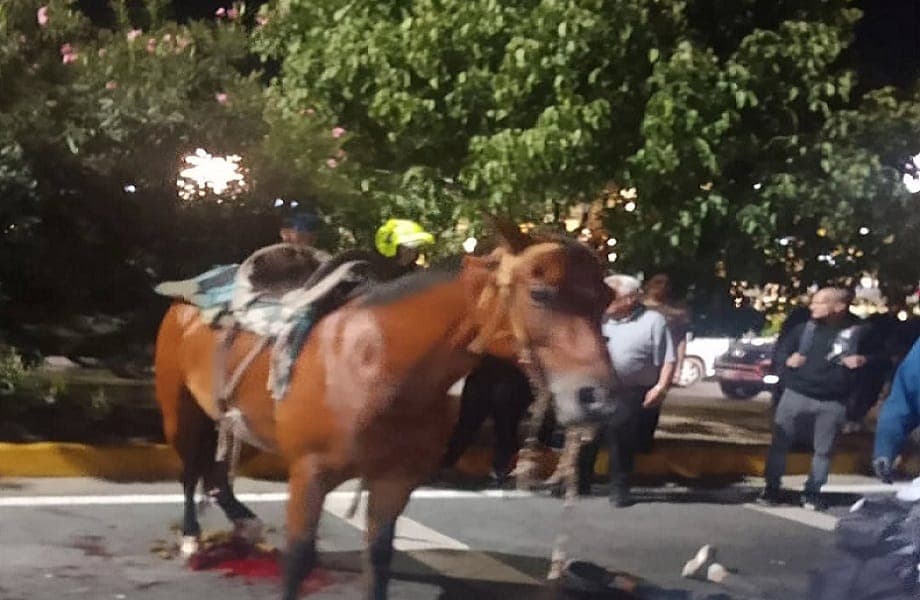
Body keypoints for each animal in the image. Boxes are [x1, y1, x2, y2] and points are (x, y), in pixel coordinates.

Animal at [154, 221, 616, 599]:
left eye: (607, 299)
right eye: (540, 293)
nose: (599, 398)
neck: (379, 363)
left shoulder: (394, 482)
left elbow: (378, 562)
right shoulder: (310, 474)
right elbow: (299, 562)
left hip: (241, 423)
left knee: (216, 469)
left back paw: (241, 521)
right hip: (181, 411)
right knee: (190, 470)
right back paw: (192, 539)